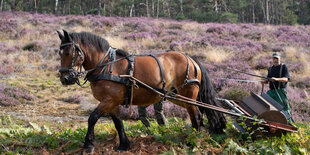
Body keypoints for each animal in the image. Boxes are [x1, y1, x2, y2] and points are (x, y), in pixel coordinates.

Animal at [56, 30, 225, 153]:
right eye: (59, 53)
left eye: (68, 53)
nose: (65, 78)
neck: (106, 65)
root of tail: (191, 59)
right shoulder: (112, 102)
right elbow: (118, 123)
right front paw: (124, 145)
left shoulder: (108, 101)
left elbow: (92, 118)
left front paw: (88, 145)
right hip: (176, 96)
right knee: (199, 112)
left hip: (187, 96)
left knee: (196, 115)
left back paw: (193, 142)